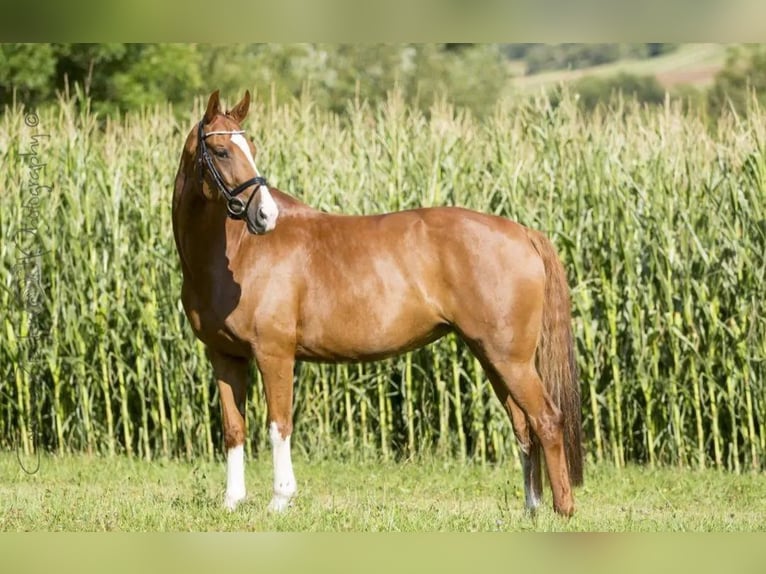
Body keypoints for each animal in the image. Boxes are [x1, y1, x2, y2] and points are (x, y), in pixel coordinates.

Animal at [172, 91, 584, 516]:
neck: (238, 254)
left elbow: (278, 425)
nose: (265, 215)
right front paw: (232, 502)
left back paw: (562, 510)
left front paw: (280, 501)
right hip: (493, 356)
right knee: (523, 424)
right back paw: (532, 508)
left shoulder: (274, 354)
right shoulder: (225, 356)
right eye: (221, 151)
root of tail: (523, 232)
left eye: (251, 149)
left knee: (547, 419)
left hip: (510, 360)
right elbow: (233, 429)